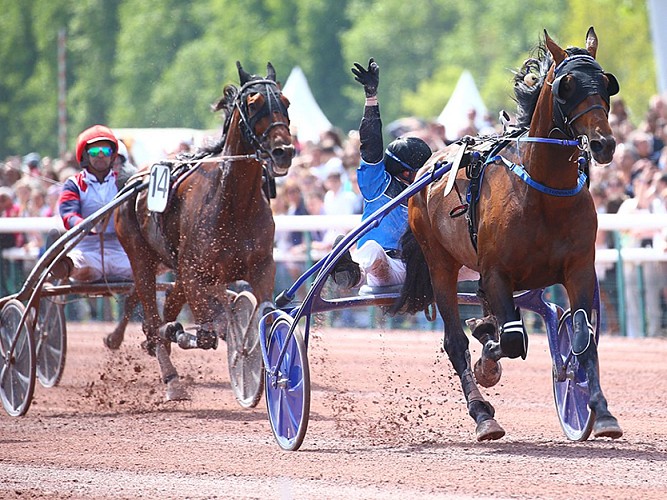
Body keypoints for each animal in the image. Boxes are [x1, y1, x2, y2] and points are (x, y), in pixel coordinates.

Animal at [115, 62, 294, 400]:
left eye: (286, 103)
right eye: (254, 104)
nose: (283, 151)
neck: (234, 203)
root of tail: (134, 177)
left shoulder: (262, 267)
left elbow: (263, 311)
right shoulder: (196, 273)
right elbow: (209, 332)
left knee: (168, 308)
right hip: (141, 259)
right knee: (152, 314)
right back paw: (171, 376)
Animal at [394, 28, 624, 442]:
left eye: (606, 84)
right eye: (567, 86)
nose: (604, 144)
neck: (544, 193)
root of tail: (430, 165)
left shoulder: (580, 267)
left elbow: (582, 336)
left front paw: (600, 411)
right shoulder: (497, 272)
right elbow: (514, 338)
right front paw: (487, 362)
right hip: (440, 262)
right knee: (455, 341)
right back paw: (482, 414)